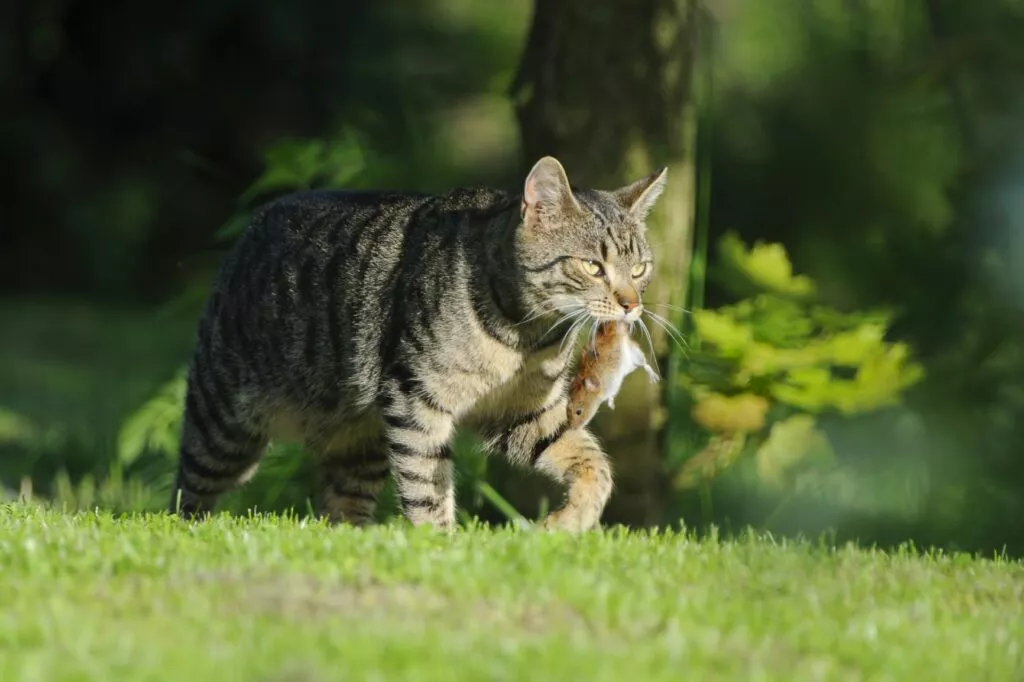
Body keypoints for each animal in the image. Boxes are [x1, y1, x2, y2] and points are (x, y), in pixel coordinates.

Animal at [172, 155, 667, 532]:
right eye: (592, 267)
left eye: (640, 269)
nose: (631, 305)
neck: (525, 336)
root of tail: (252, 225)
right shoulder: (415, 399)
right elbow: (426, 486)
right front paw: (438, 546)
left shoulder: (521, 412)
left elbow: (594, 464)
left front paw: (569, 522)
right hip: (224, 426)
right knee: (188, 491)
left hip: (357, 443)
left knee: (342, 508)